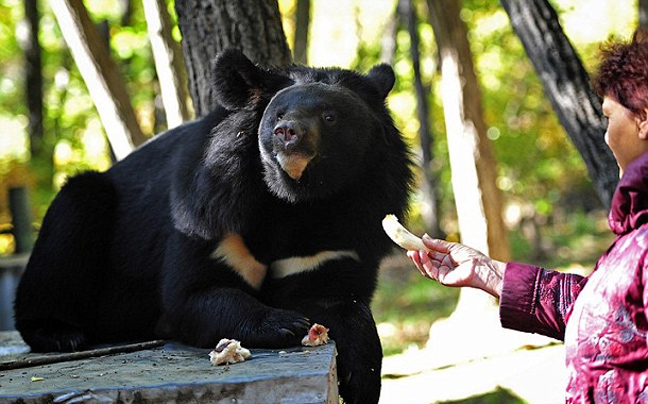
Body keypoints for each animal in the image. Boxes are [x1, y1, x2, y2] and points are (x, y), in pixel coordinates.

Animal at [12, 50, 412, 404]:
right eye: (278, 113)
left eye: (330, 117)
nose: (287, 132)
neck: (294, 200)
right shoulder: (210, 210)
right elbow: (196, 293)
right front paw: (284, 324)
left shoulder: (347, 226)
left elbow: (339, 301)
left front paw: (361, 379)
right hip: (87, 212)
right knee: (71, 218)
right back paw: (60, 333)